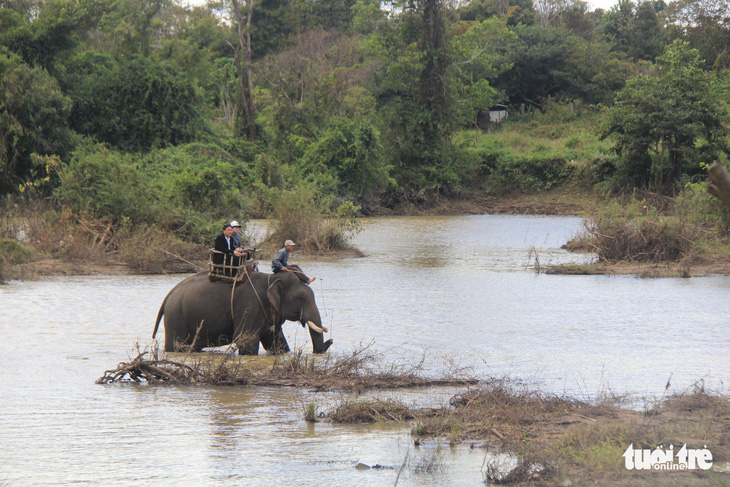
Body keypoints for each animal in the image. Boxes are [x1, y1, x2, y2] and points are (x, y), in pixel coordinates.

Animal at [151, 270, 332, 354]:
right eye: (301, 298)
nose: (330, 341)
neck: (271, 278)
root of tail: (168, 296)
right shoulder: (249, 306)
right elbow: (246, 341)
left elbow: (276, 342)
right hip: (175, 317)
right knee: (177, 345)